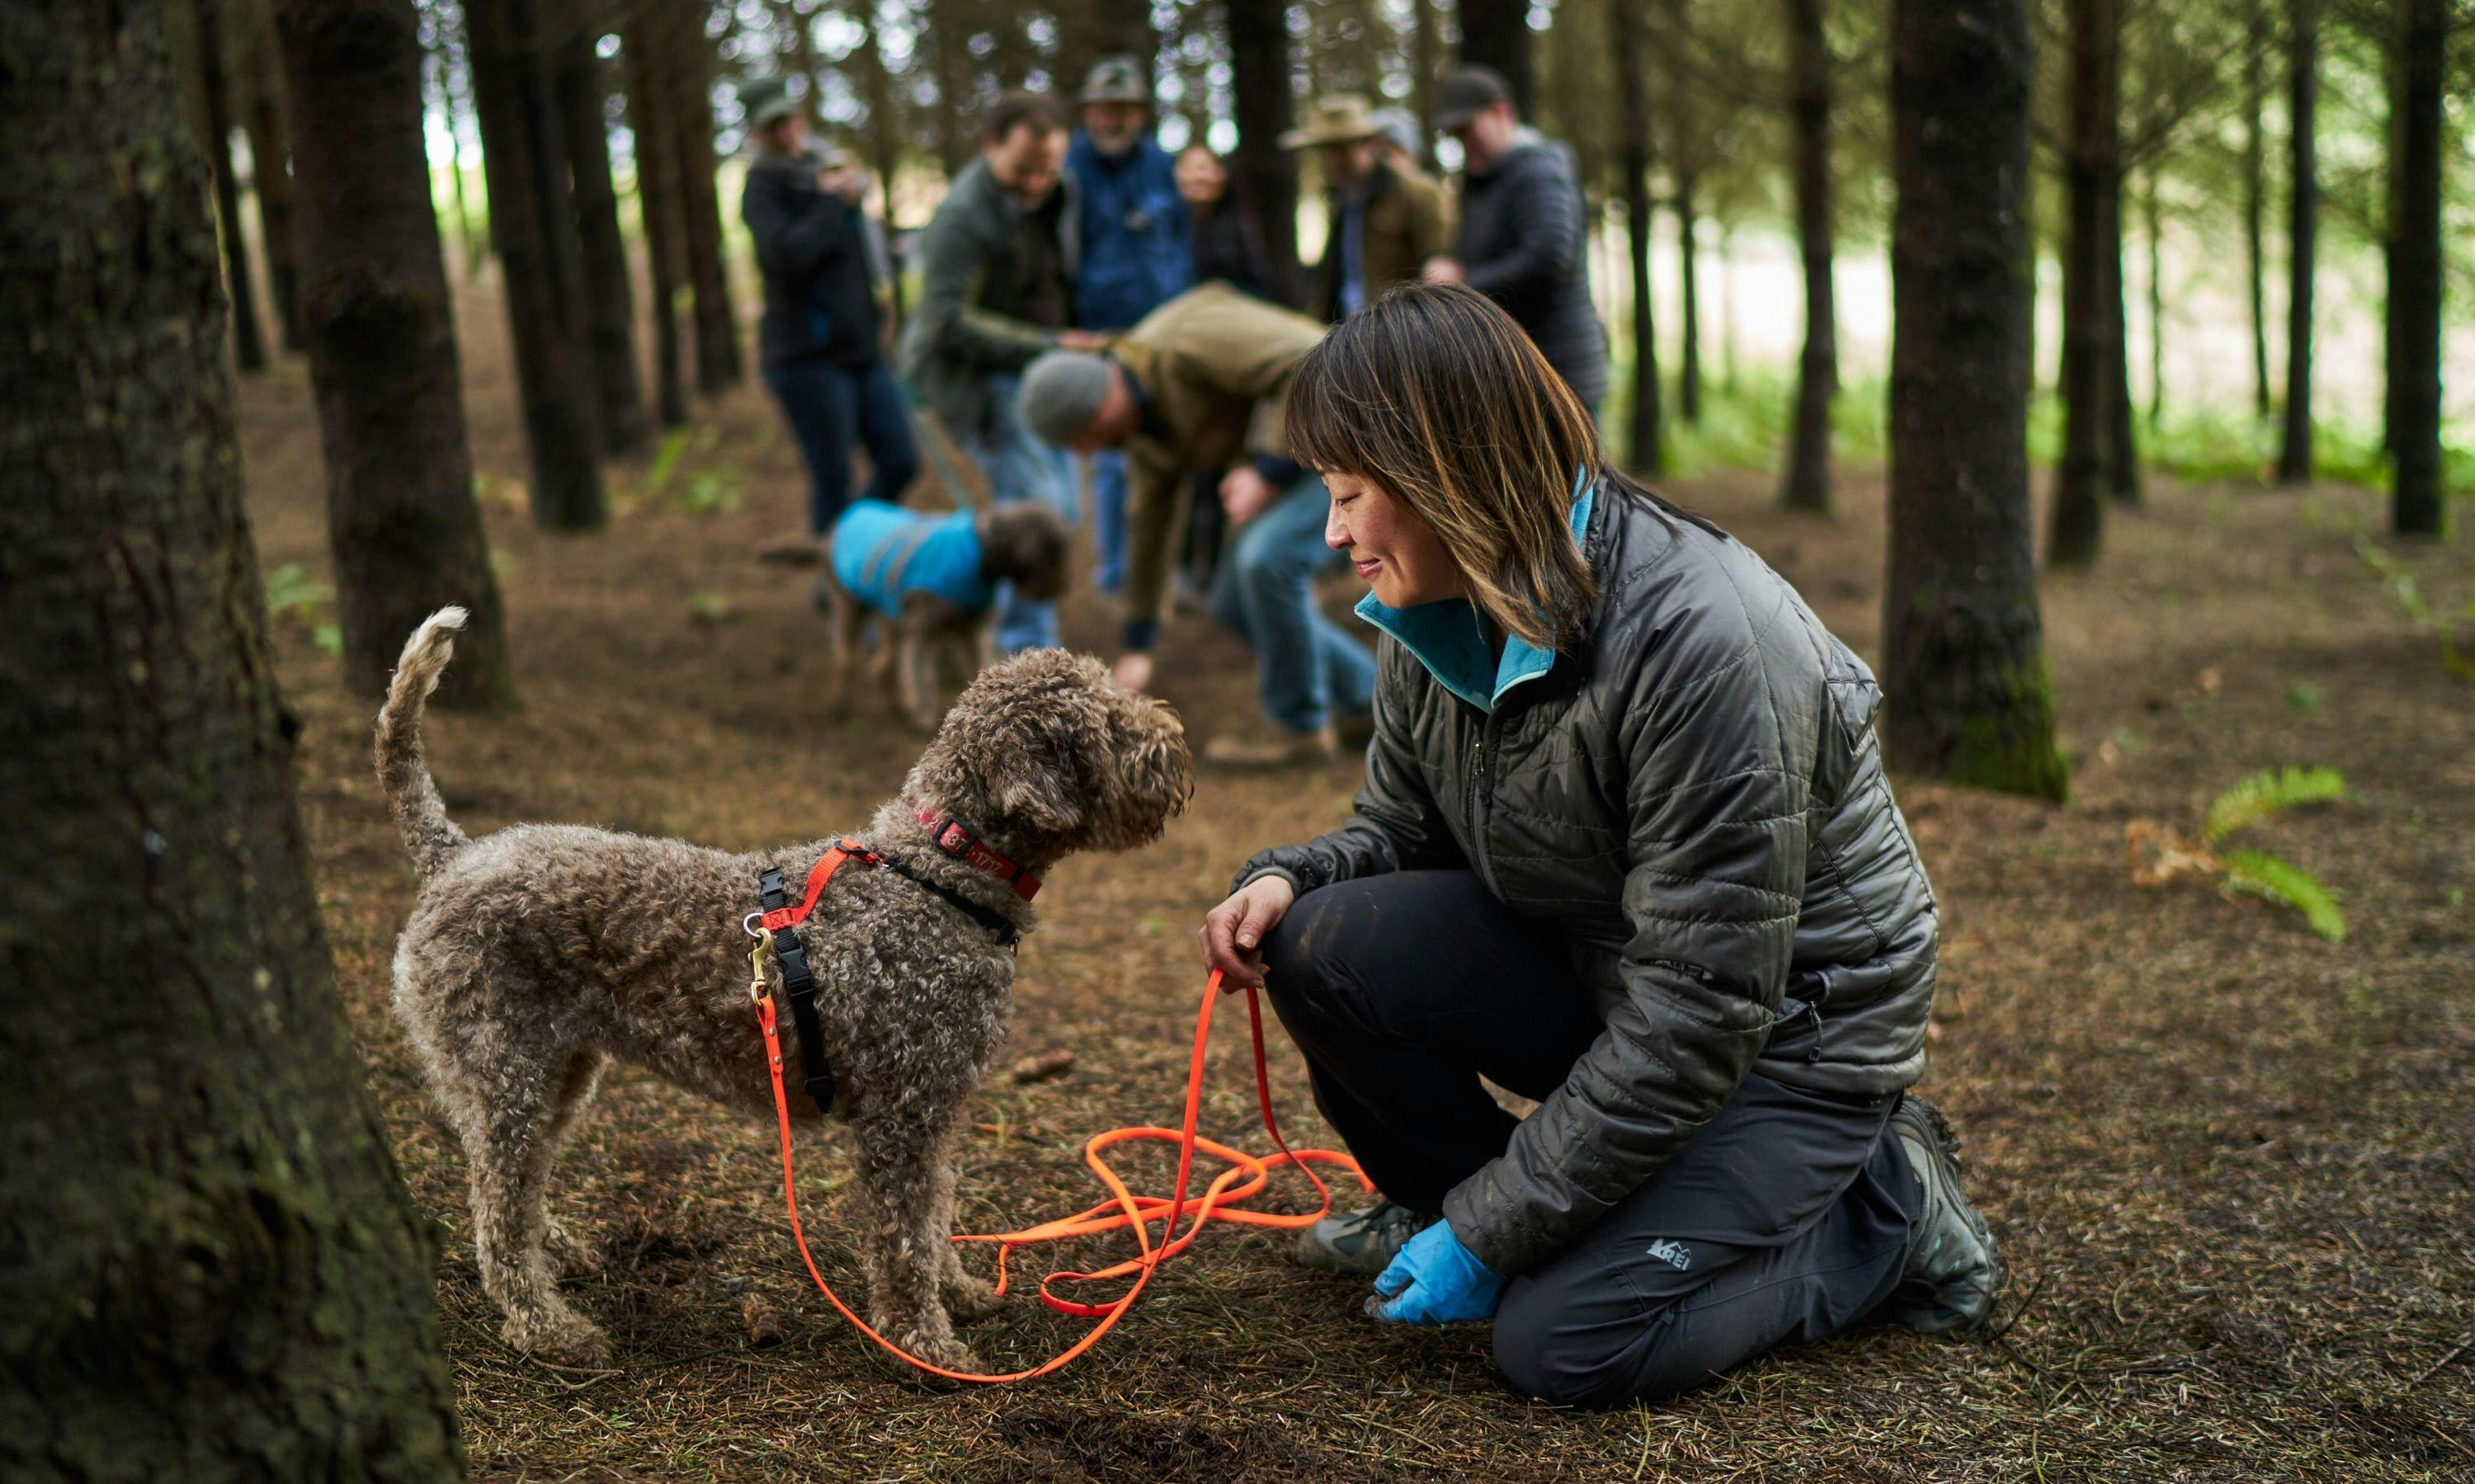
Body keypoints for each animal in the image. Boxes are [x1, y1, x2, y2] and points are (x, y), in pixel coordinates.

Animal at [379, 605, 1198, 1365]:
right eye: (1104, 722)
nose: (1175, 742)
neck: (939, 870)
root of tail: (454, 855)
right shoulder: (902, 1116)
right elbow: (905, 1239)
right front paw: (924, 1344)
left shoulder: (933, 1113)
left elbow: (936, 1218)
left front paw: (960, 1293)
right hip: (506, 1068)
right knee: (498, 1207)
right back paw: (546, 1326)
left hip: (558, 1069)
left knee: (517, 1184)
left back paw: (559, 1254)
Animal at [827, 499, 1069, 732]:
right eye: (1053, 553)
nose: (1060, 588)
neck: (981, 552)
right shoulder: (922, 628)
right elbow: (920, 677)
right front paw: (923, 715)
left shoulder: (968, 630)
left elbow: (975, 669)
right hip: (851, 608)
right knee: (847, 658)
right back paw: (840, 706)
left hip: (890, 618)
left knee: (880, 666)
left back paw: (895, 707)